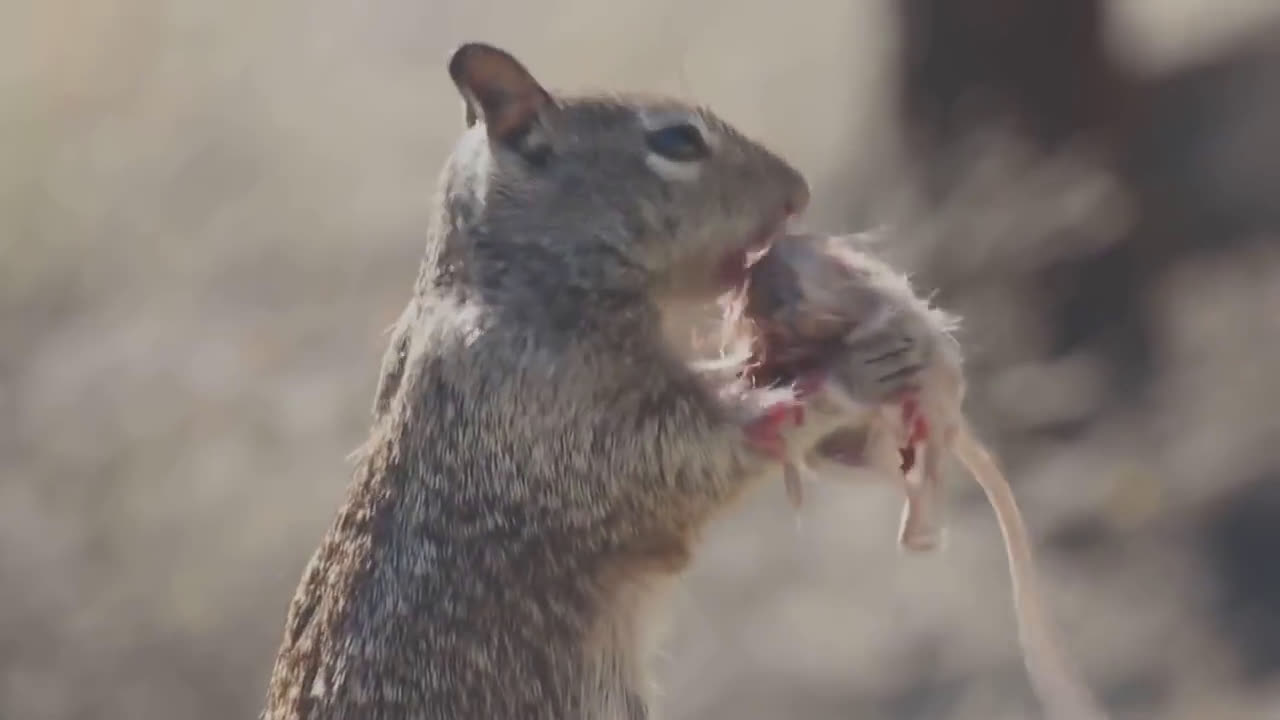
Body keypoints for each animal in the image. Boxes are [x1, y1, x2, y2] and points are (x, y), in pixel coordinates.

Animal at [262, 41, 921, 712]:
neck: (513, 279)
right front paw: (858, 368)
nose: (799, 193)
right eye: (679, 140)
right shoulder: (566, 415)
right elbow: (710, 449)